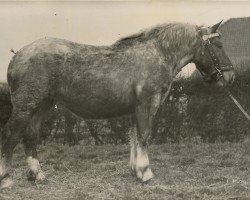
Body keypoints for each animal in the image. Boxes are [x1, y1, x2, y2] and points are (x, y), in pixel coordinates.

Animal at [0, 20, 234, 188]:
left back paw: (37, 174)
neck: (157, 53)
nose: (230, 76)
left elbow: (134, 137)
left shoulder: (135, 109)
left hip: (42, 105)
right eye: (218, 45)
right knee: (10, 134)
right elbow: (144, 136)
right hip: (26, 106)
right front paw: (145, 172)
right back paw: (6, 178)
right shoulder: (147, 105)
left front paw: (135, 170)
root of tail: (17, 56)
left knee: (30, 136)